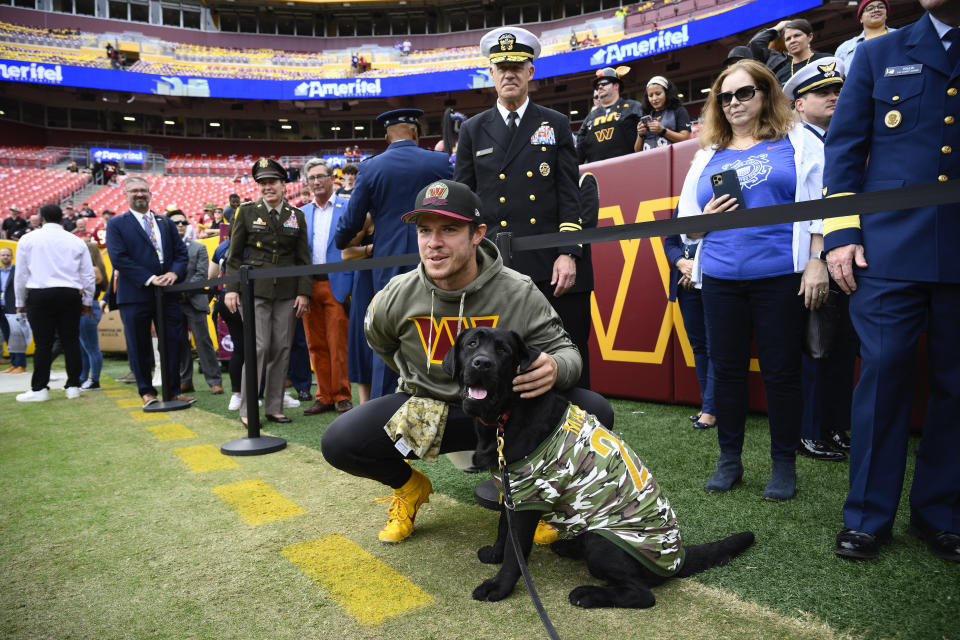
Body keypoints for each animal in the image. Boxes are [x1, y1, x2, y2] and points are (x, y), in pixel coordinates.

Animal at [444, 328, 756, 608]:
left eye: (503, 351)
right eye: (472, 344)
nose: (481, 363)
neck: (505, 416)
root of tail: (678, 559)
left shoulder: (530, 495)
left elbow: (515, 550)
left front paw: (499, 587)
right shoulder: (514, 489)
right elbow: (502, 528)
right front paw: (495, 553)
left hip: (602, 541)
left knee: (642, 594)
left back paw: (588, 594)